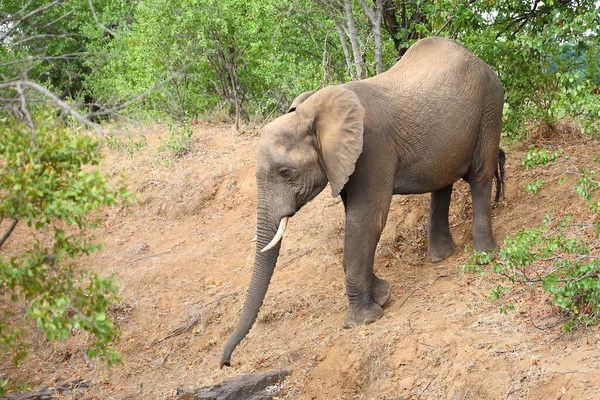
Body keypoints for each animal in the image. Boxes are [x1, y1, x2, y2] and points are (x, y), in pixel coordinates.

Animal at [218, 36, 504, 368]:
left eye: (285, 172)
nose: (227, 363)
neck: (313, 112)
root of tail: (481, 61)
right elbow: (356, 224)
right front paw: (383, 295)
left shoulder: (372, 148)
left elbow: (366, 220)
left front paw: (362, 321)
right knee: (442, 182)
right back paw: (440, 257)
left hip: (490, 105)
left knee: (480, 175)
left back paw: (484, 255)